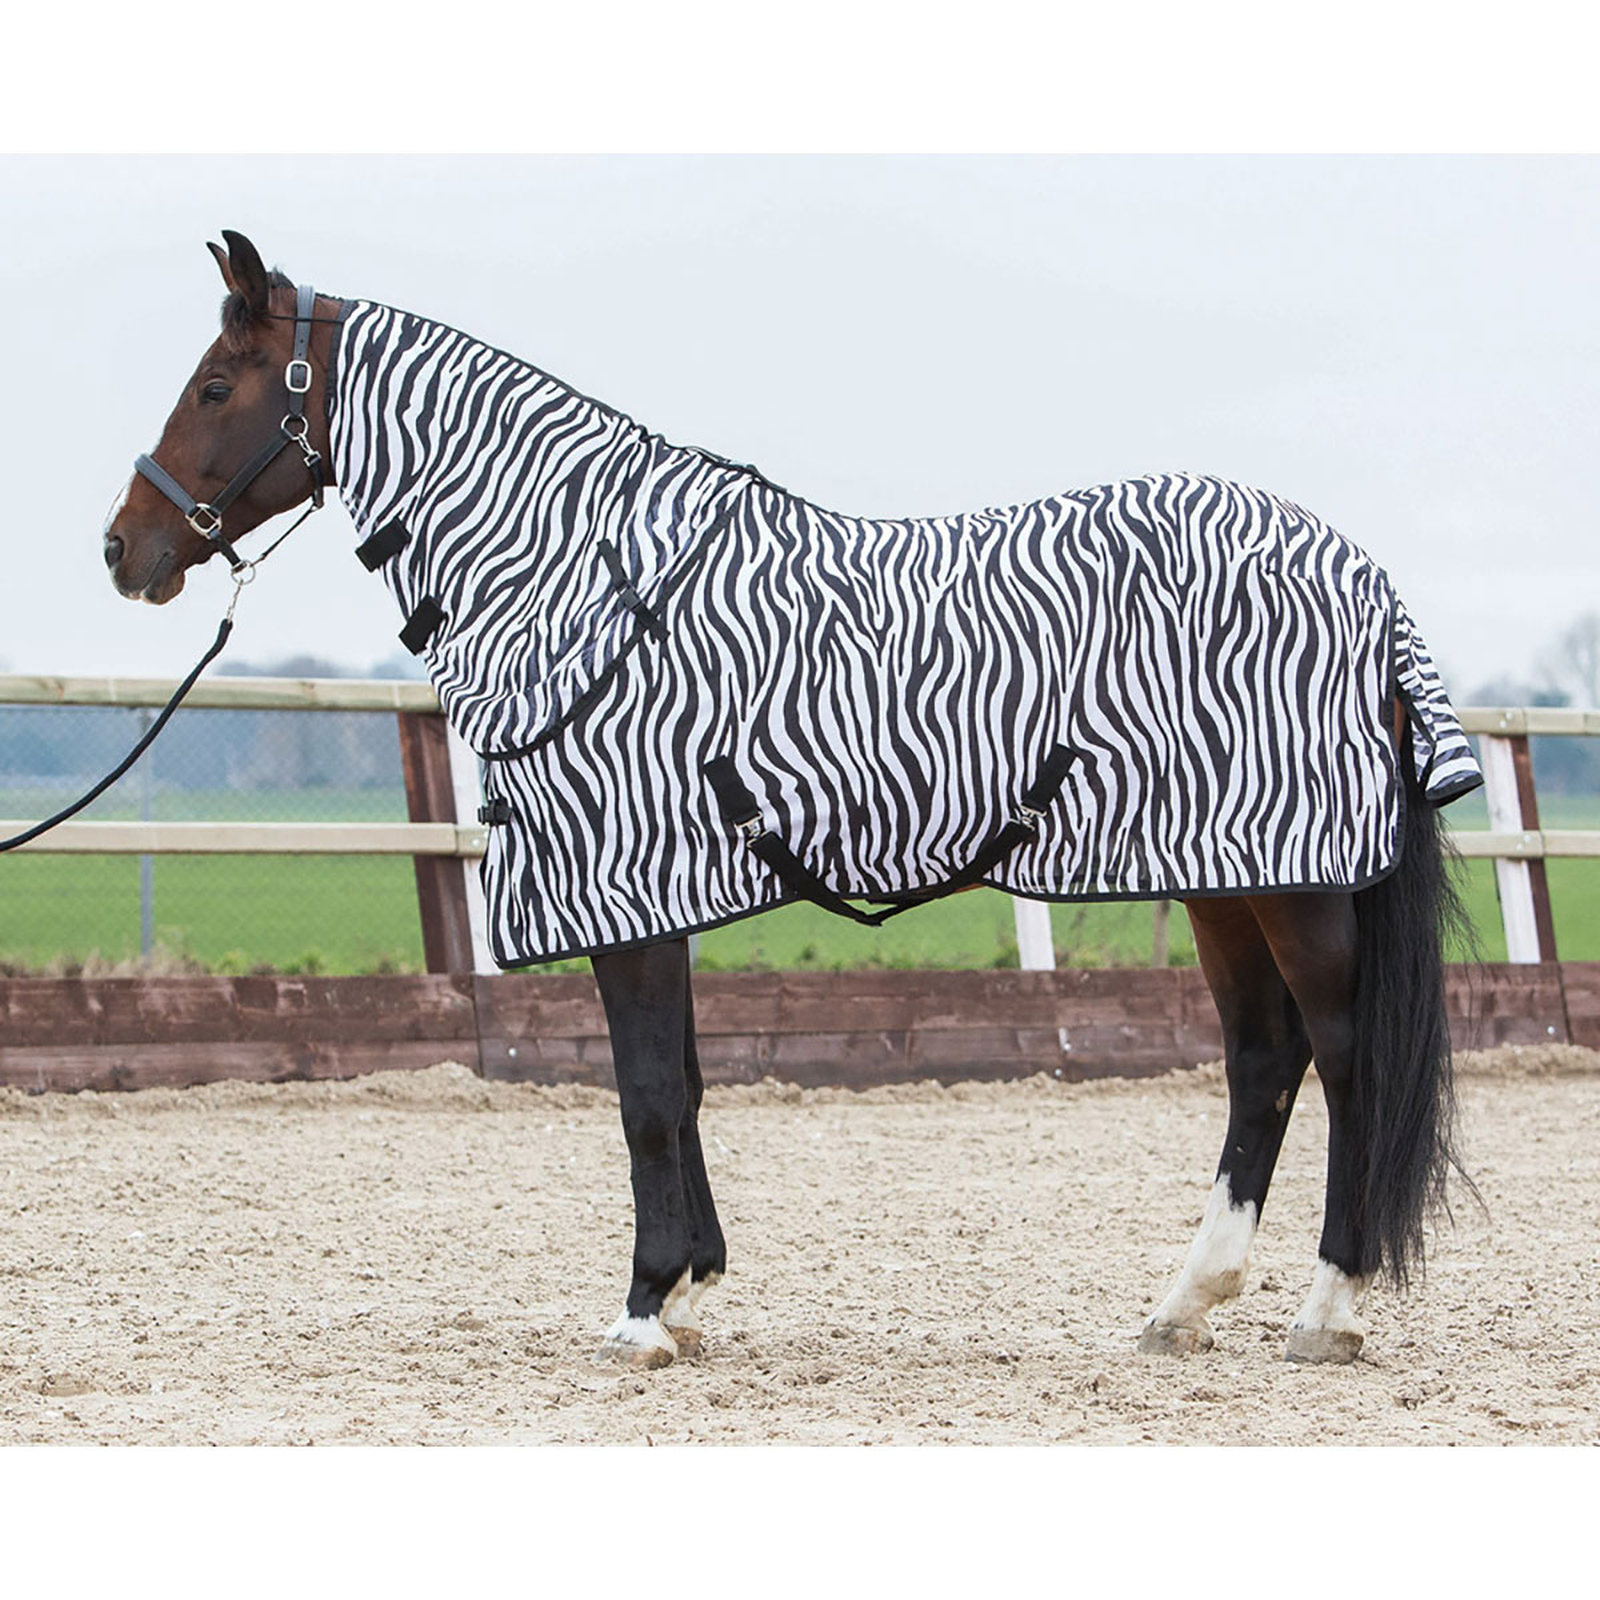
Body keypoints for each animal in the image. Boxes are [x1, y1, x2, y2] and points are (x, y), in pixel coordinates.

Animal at [102, 230, 1478, 1369]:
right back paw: (1185, 1302)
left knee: (1343, 1058)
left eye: (215, 387)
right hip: (1221, 877)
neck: (582, 578)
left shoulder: (625, 889)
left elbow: (648, 1096)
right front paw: (691, 1288)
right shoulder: (651, 895)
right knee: (1262, 1060)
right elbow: (685, 1084)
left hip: (1296, 885)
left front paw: (643, 1310)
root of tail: (1361, 575)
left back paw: (1327, 1309)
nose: (125, 550)